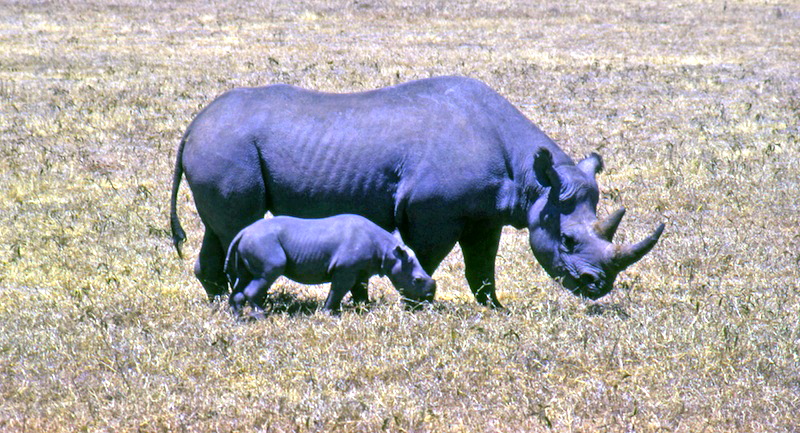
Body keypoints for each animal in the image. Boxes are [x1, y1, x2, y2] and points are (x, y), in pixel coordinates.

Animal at [224, 214, 436, 316]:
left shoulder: (360, 270)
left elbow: (360, 290)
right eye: (417, 280)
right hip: (263, 243)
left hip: (251, 242)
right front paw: (328, 314)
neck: (388, 251)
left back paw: (239, 319)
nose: (428, 299)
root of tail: (243, 232)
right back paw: (261, 317)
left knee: (244, 278)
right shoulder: (345, 268)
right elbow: (338, 290)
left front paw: (364, 310)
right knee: (268, 273)